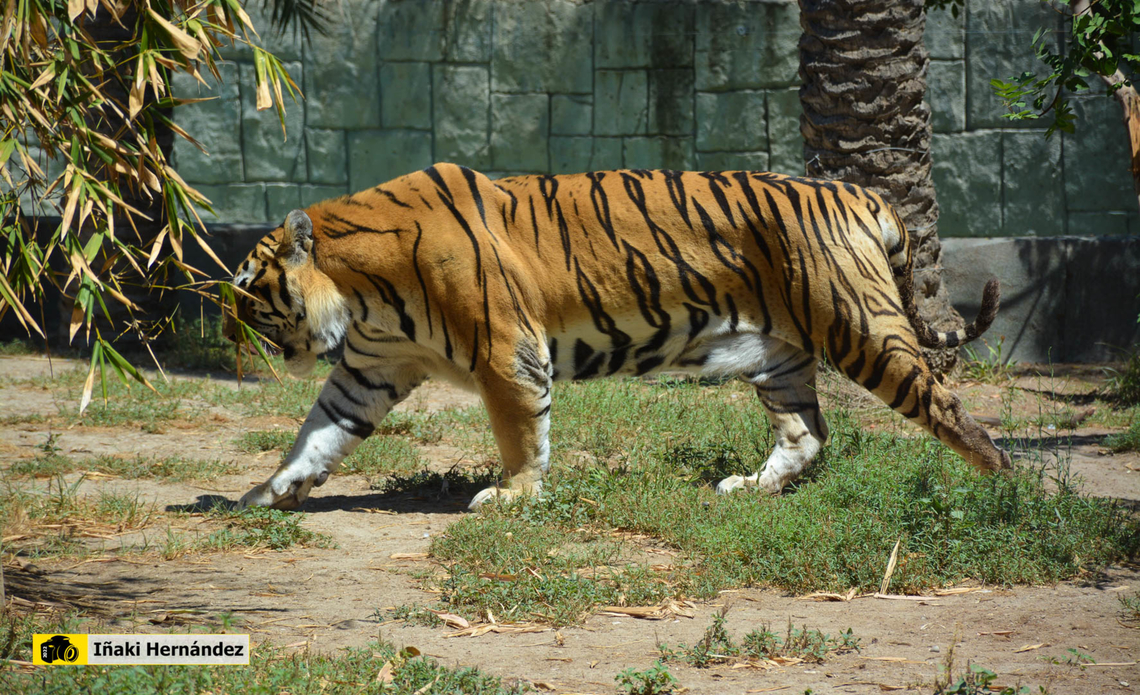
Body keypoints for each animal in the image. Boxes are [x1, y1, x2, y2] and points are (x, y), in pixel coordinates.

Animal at [224, 163, 1011, 512]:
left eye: (251, 295)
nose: (242, 341)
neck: (361, 293)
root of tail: (855, 190)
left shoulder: (505, 351)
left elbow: (520, 433)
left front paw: (511, 495)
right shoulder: (370, 368)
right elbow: (317, 434)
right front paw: (261, 494)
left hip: (863, 330)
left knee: (950, 412)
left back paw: (1014, 496)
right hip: (780, 357)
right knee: (807, 433)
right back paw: (747, 486)